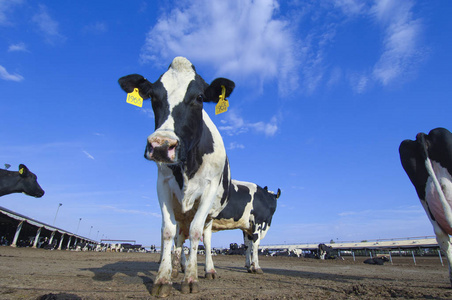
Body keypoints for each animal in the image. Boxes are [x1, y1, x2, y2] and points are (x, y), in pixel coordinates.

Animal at [118, 56, 235, 298]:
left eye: (199, 97)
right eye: (153, 96)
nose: (162, 145)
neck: (187, 166)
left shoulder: (209, 189)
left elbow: (197, 232)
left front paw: (191, 278)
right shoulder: (162, 184)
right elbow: (167, 232)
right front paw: (164, 278)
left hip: (211, 212)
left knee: (205, 236)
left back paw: (208, 270)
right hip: (181, 209)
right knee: (180, 236)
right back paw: (176, 267)